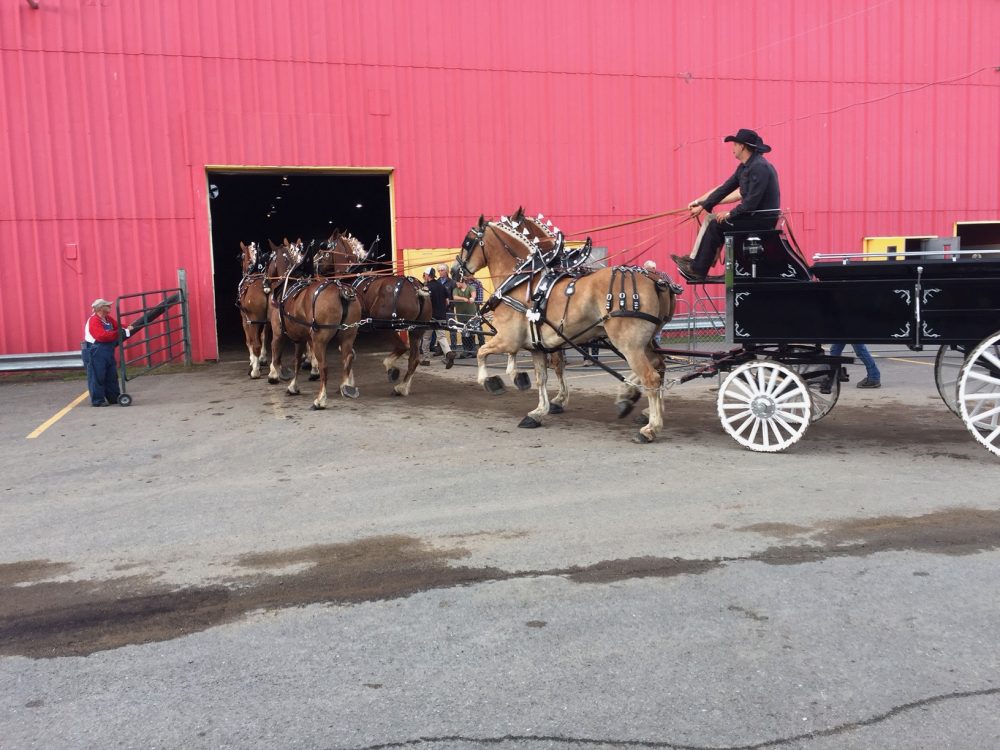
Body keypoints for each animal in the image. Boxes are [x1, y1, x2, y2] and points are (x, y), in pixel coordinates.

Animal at [238, 241, 273, 378]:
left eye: (242, 257)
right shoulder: (265, 322)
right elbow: (263, 336)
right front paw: (262, 359)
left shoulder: (246, 319)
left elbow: (250, 341)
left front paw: (253, 361)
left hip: (253, 320)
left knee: (255, 343)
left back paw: (255, 372)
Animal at [265, 240, 363, 409]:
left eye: (269, 259)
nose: (265, 281)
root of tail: (341, 292)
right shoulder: (301, 338)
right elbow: (297, 360)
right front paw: (293, 385)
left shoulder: (279, 333)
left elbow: (278, 353)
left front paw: (275, 376)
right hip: (348, 335)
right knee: (348, 357)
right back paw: (346, 386)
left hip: (320, 339)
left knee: (325, 366)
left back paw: (320, 399)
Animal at [315, 231, 434, 397]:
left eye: (324, 248)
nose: (315, 264)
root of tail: (416, 289)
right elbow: (348, 353)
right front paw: (348, 383)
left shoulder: (348, 328)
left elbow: (346, 353)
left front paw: (346, 384)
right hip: (417, 330)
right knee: (413, 359)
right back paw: (402, 387)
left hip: (386, 326)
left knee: (402, 348)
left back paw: (391, 369)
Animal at [452, 215, 679, 443]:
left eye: (467, 242)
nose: (455, 271)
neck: (521, 282)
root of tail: (656, 281)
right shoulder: (536, 346)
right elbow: (542, 377)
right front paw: (538, 411)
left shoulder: (508, 339)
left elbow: (482, 353)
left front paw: (490, 381)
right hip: (645, 343)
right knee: (659, 366)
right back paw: (639, 406)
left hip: (628, 344)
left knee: (650, 377)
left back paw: (649, 428)